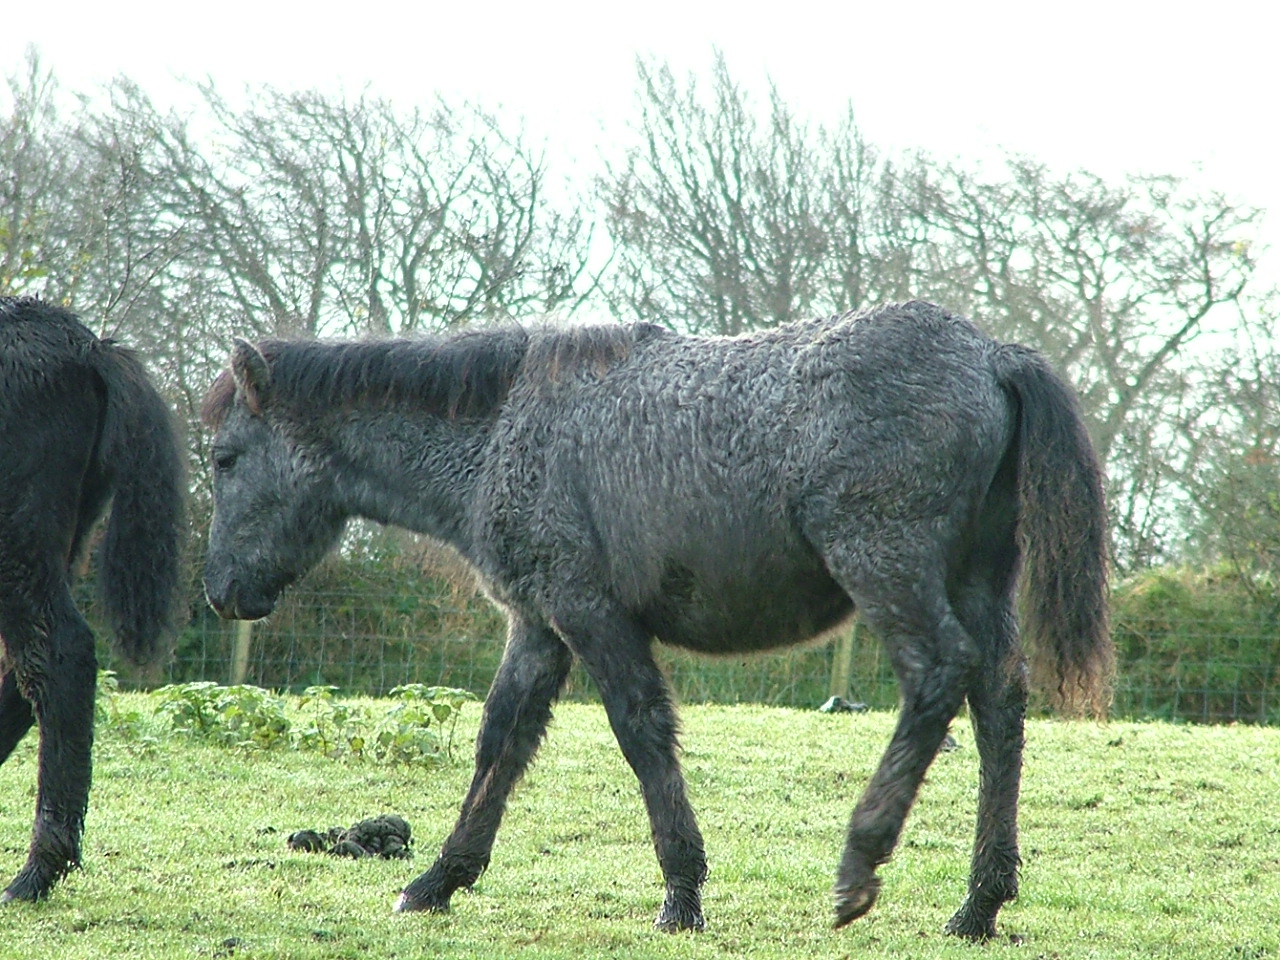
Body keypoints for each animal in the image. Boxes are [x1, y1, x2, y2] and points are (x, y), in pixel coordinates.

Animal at [201, 300, 1110, 937]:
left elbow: (641, 733)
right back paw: (979, 905)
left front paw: (682, 894)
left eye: (225, 458)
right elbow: (500, 744)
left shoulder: (591, 615)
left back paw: (861, 865)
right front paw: (436, 881)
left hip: (887, 568)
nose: (218, 591)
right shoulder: (539, 627)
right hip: (978, 585)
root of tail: (991, 355)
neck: (502, 427)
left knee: (938, 677)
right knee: (999, 706)